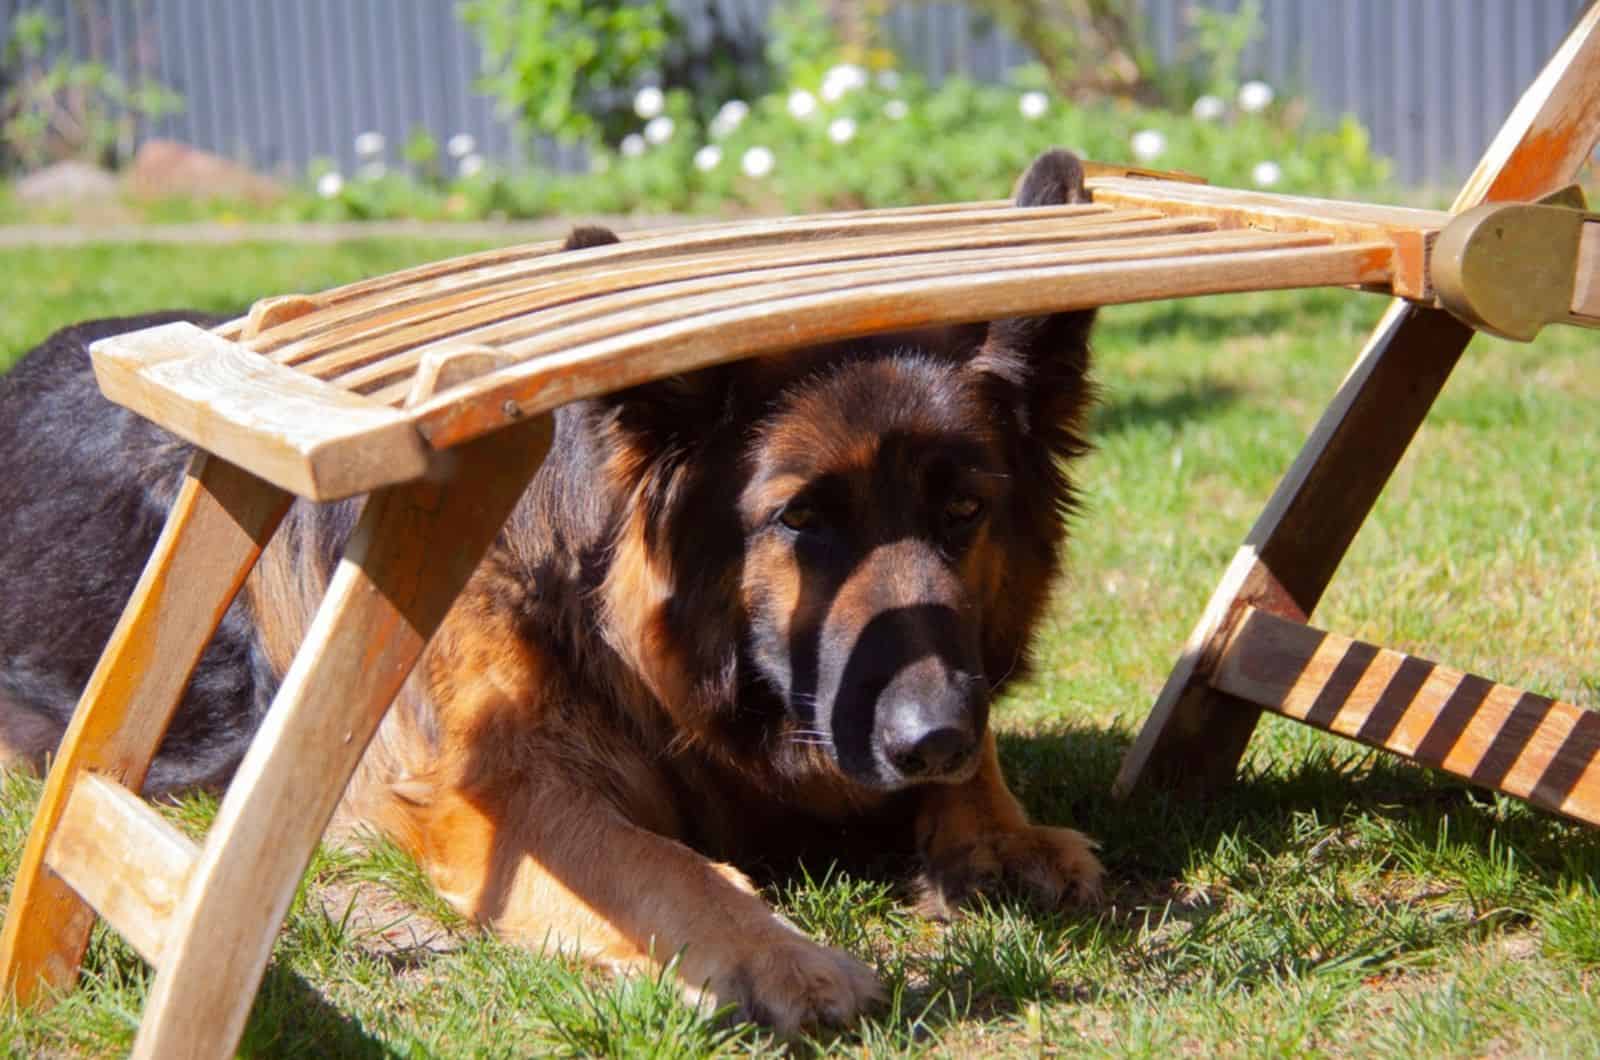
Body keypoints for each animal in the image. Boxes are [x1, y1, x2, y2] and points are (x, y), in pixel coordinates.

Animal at [0, 147, 1100, 1031]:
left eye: (963, 511)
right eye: (800, 520)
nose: (932, 738)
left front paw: (1000, 830)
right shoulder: (498, 791)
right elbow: (659, 865)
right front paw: (775, 954)